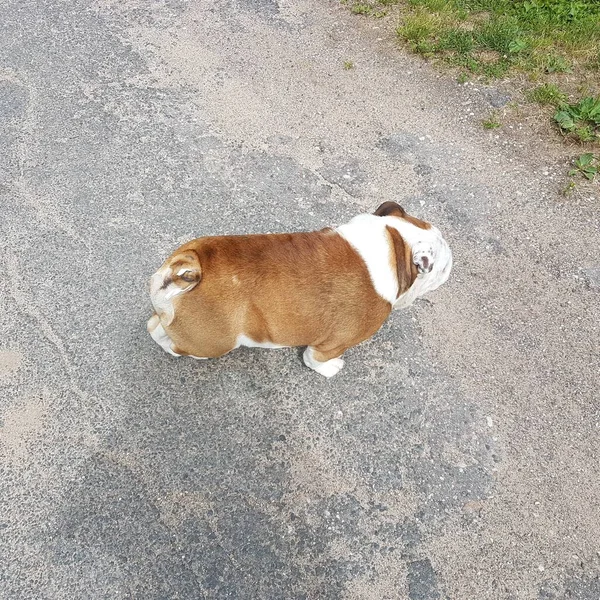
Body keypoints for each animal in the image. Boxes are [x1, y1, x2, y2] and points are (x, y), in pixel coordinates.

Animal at [149, 204, 450, 378]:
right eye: (442, 266)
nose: (450, 263)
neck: (393, 241)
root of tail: (191, 263)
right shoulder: (335, 342)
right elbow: (315, 359)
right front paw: (330, 368)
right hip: (214, 341)